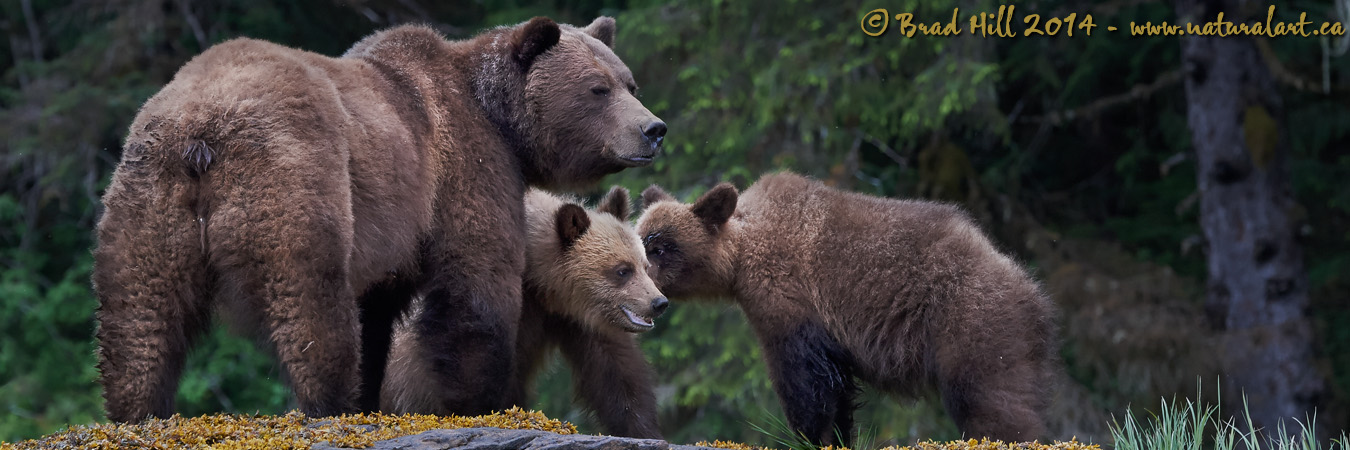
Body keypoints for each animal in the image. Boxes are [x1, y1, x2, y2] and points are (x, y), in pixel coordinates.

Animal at [383, 185, 666, 435]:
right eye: (622, 270)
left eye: (644, 265)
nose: (659, 303)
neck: (543, 283)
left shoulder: (576, 318)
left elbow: (617, 371)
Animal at [637, 171, 1058, 440]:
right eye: (640, 236)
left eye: (660, 247)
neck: (742, 259)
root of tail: (1032, 290)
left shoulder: (792, 302)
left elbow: (808, 384)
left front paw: (814, 435)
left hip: (970, 321)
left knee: (992, 403)